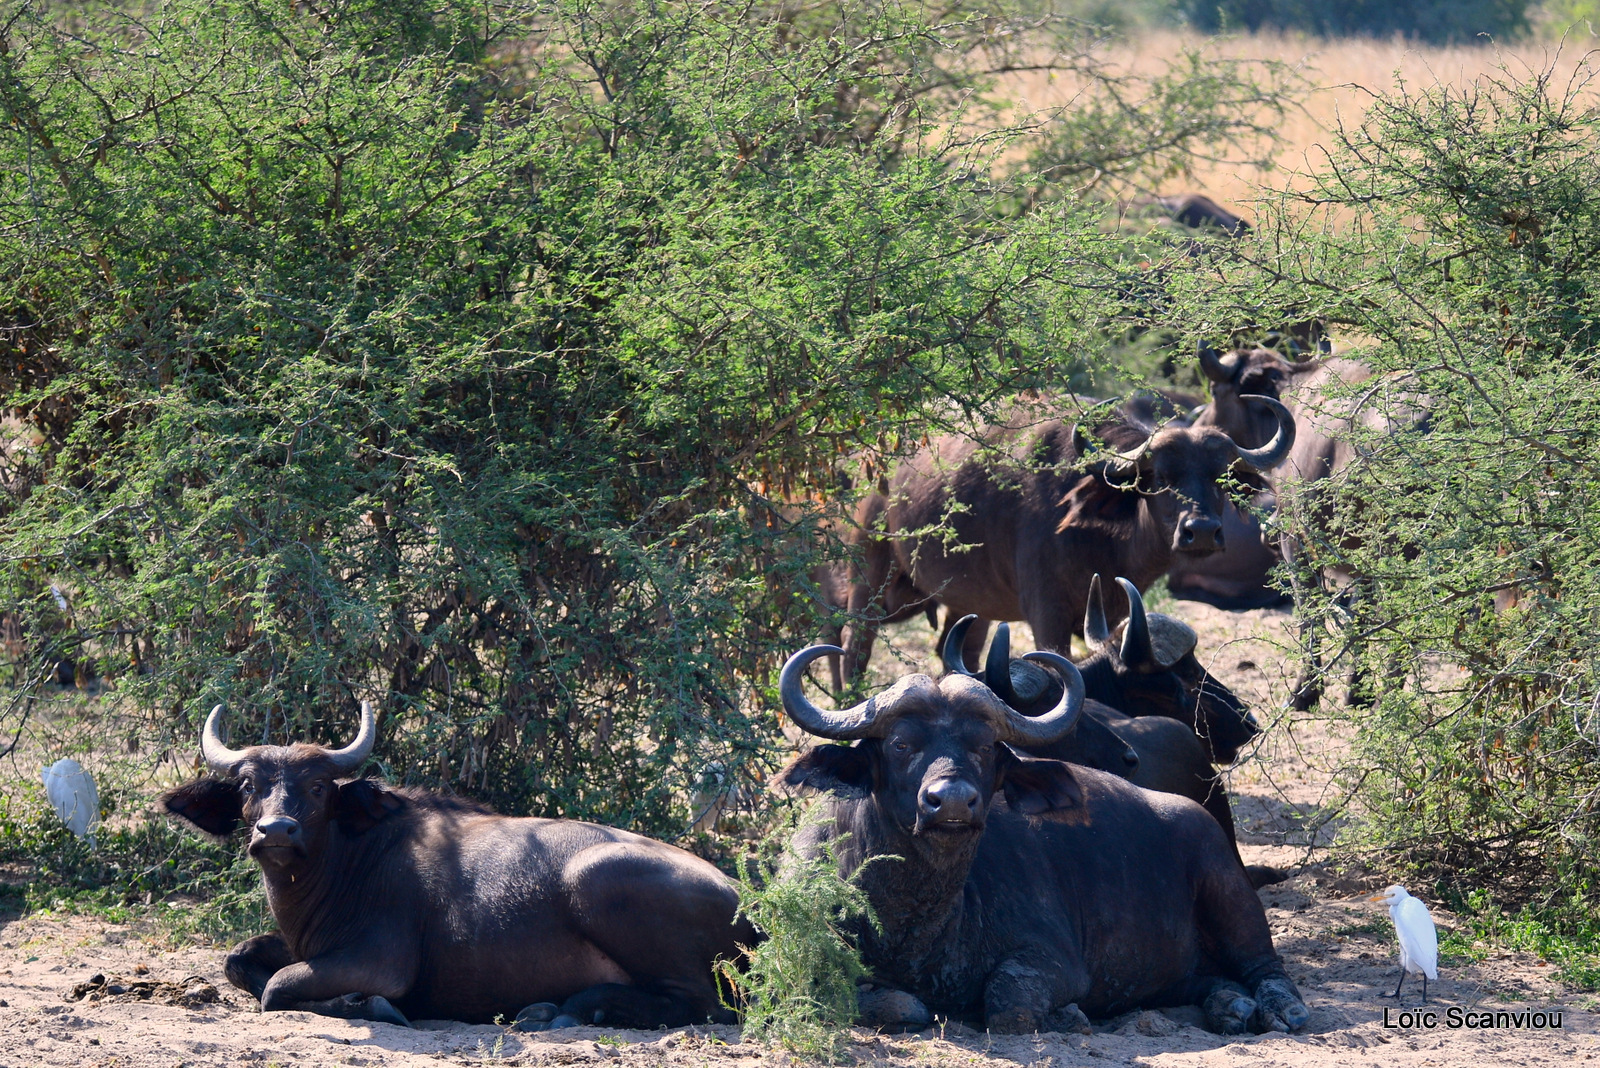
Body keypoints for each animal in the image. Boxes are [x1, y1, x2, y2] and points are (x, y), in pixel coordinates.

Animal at [774, 642, 1312, 1036]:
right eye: (901, 744)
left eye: (986, 746)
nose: (952, 803)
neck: (910, 918)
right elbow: (896, 1003)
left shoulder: (1054, 962)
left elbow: (1008, 1004)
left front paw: (1068, 1016)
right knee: (1209, 979)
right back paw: (1229, 1006)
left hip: (1230, 889)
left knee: (1266, 966)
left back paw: (1278, 1009)